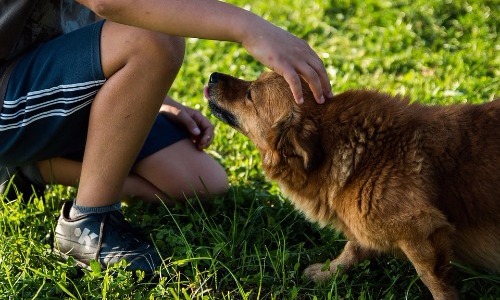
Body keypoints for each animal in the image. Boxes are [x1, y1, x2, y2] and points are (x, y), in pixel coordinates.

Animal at [203, 71, 500, 298]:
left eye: (250, 94)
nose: (213, 75)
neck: (363, 154)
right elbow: (353, 248)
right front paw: (328, 272)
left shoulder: (421, 230)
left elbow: (434, 282)